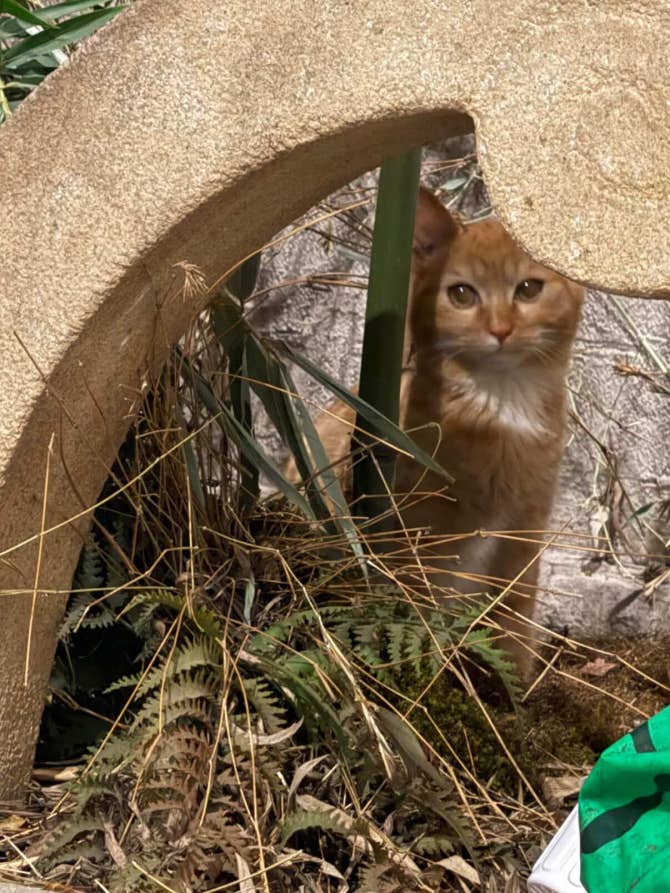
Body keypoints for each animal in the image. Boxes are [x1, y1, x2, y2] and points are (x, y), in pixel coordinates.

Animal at [289, 186, 584, 678]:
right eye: (461, 294)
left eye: (528, 289)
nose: (500, 329)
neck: (501, 407)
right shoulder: (417, 536)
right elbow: (417, 616)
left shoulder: (524, 534)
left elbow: (514, 625)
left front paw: (515, 687)